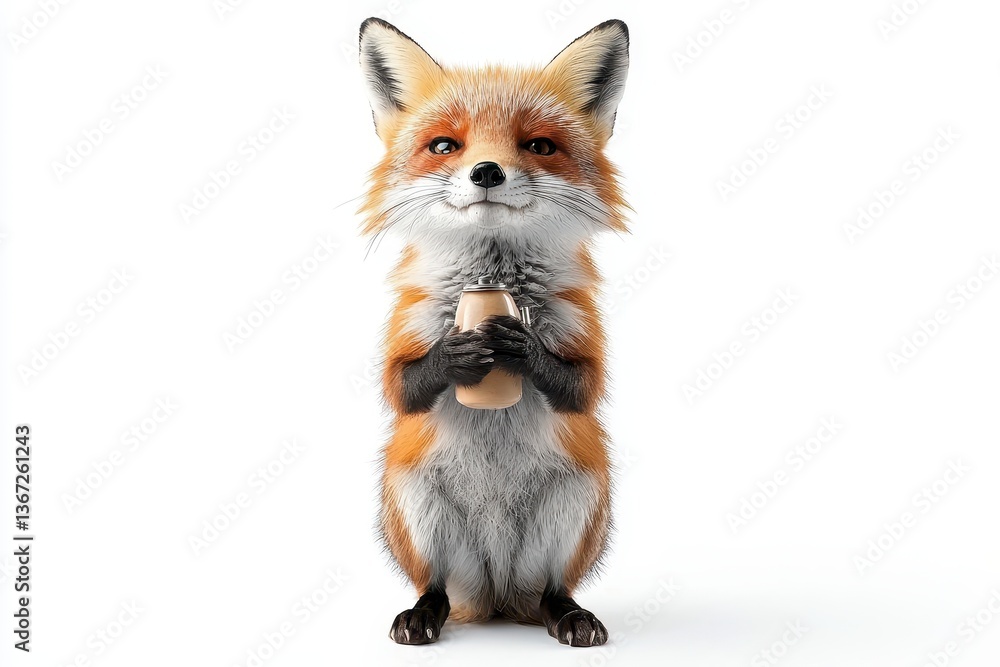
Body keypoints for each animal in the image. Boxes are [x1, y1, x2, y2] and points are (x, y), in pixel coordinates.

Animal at [357, 17, 630, 647]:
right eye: (445, 146)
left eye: (538, 145)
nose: (487, 172)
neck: (493, 279)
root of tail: (499, 596)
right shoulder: (406, 325)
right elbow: (401, 388)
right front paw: (454, 355)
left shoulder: (584, 329)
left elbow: (582, 389)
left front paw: (522, 348)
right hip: (413, 497)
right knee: (434, 585)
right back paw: (422, 614)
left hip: (579, 495)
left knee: (554, 589)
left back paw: (569, 614)